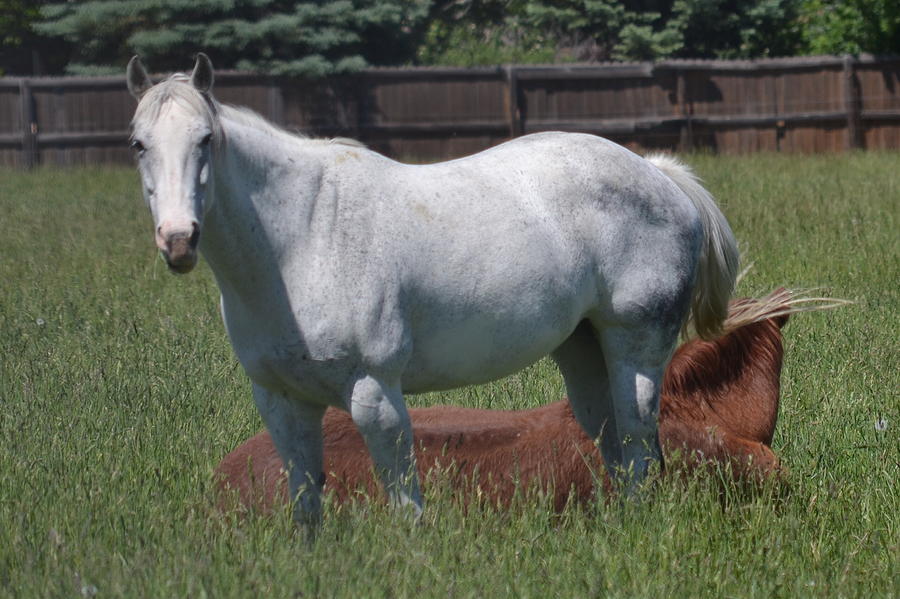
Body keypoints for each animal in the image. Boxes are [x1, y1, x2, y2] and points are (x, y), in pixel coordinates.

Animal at [126, 55, 740, 524]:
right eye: (138, 144)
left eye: (206, 139)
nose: (178, 240)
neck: (303, 237)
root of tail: (658, 174)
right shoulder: (280, 401)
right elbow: (305, 504)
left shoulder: (374, 394)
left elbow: (405, 504)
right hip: (583, 347)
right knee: (612, 438)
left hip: (636, 346)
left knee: (637, 438)